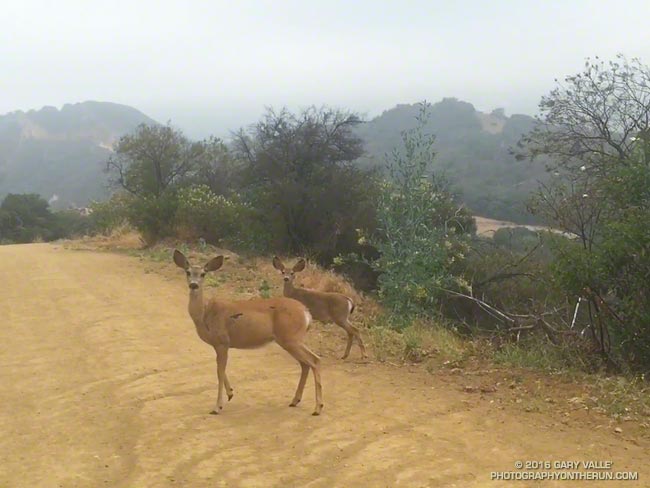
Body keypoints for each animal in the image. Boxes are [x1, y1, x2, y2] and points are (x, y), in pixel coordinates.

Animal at [173, 252, 322, 416]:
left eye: (203, 274)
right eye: (187, 272)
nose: (193, 285)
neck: (205, 315)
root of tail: (306, 313)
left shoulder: (222, 341)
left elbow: (219, 371)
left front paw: (217, 406)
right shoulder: (218, 344)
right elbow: (219, 368)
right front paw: (230, 393)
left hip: (290, 338)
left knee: (314, 360)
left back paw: (317, 408)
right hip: (291, 339)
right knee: (307, 363)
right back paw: (295, 400)